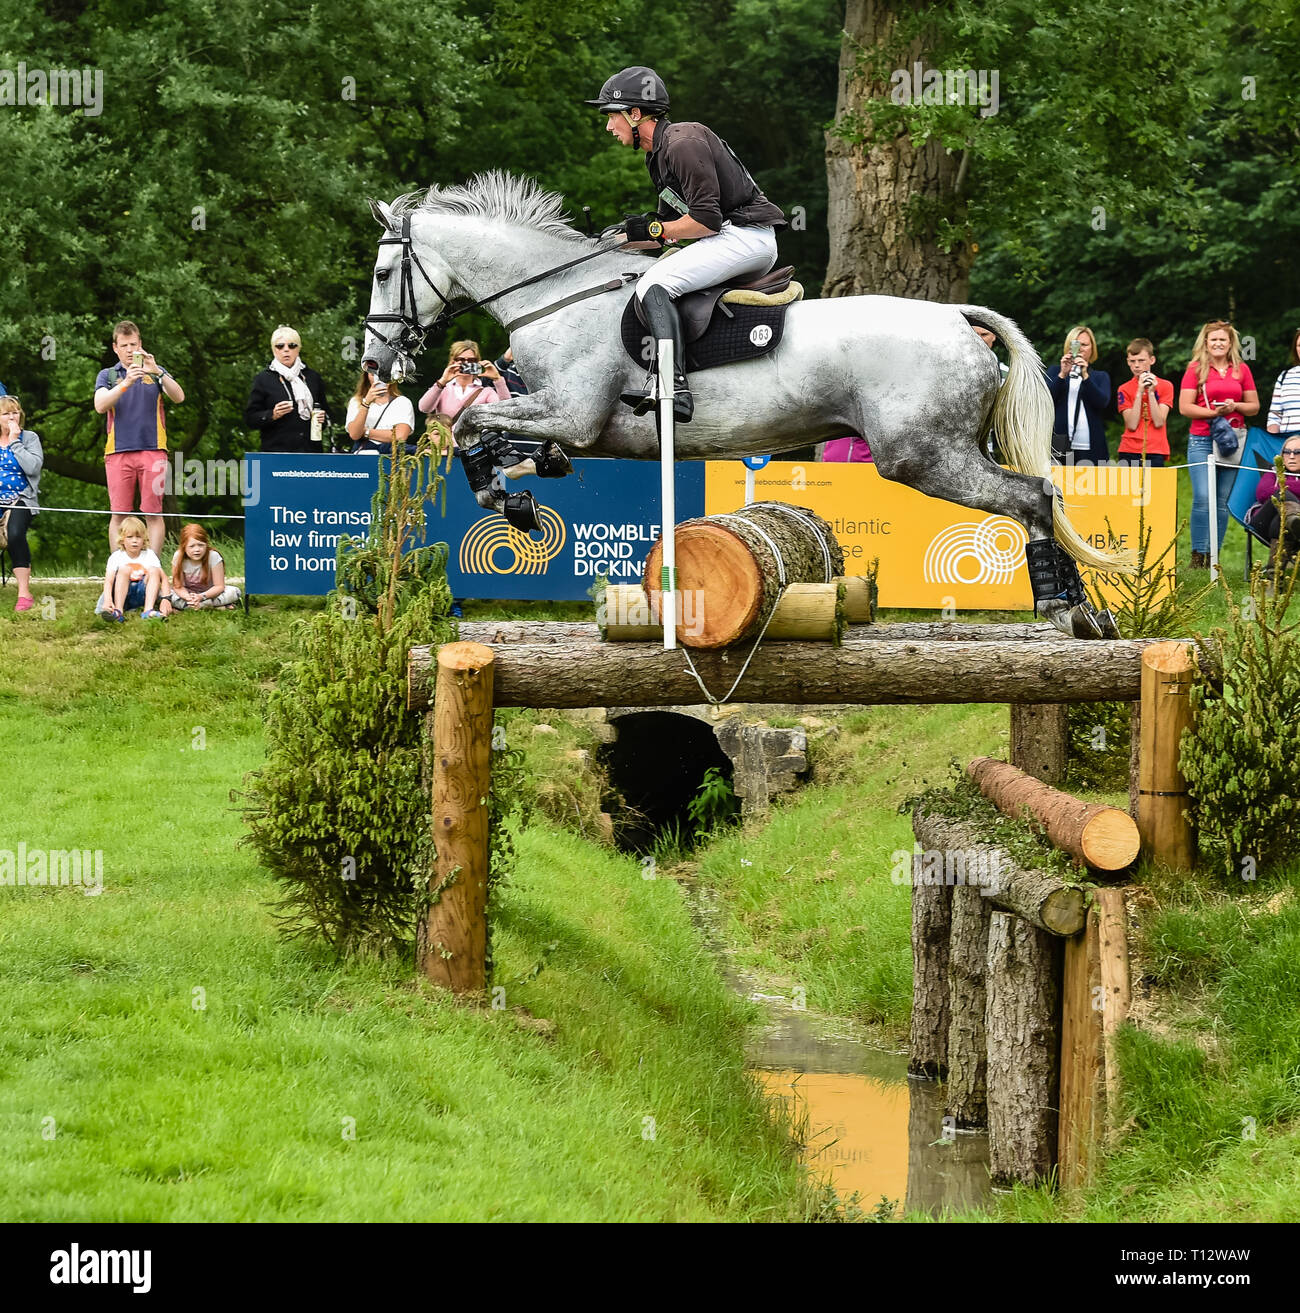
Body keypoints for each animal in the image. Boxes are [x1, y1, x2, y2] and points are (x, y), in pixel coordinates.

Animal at [362, 170, 1124, 635]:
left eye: (383, 271)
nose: (373, 364)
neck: (555, 296)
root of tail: (956, 320)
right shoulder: (561, 423)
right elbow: (496, 440)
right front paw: (514, 491)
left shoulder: (572, 415)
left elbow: (467, 419)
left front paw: (505, 500)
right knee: (1037, 496)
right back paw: (1088, 615)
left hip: (924, 455)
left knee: (1031, 496)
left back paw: (1062, 609)